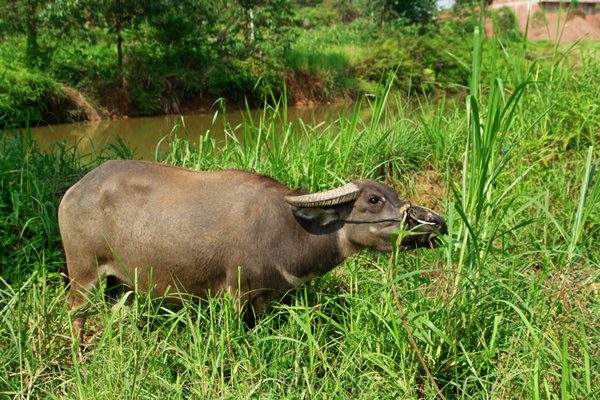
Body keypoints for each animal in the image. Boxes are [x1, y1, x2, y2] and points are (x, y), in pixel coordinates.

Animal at [59, 159, 446, 338]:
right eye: (373, 200)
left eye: (396, 194)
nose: (437, 222)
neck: (291, 229)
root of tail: (75, 190)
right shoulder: (238, 293)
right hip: (83, 273)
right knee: (76, 313)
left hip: (119, 283)